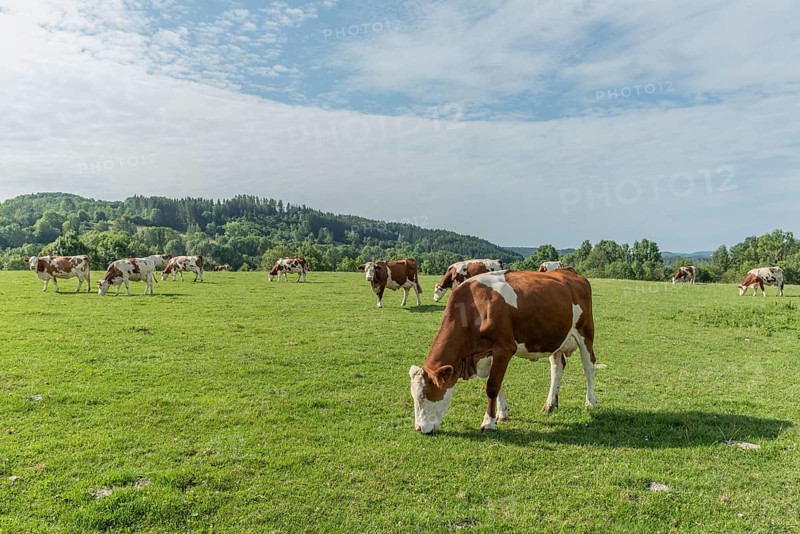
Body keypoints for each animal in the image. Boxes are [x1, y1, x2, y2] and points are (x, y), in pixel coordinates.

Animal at [409, 269, 597, 434]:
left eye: (425, 395)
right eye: (413, 396)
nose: (419, 428)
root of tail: (570, 272)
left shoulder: (504, 349)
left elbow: (492, 386)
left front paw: (488, 423)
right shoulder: (488, 354)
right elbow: (497, 384)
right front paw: (502, 413)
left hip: (585, 333)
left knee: (589, 366)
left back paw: (590, 402)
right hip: (555, 338)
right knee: (557, 368)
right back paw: (550, 404)